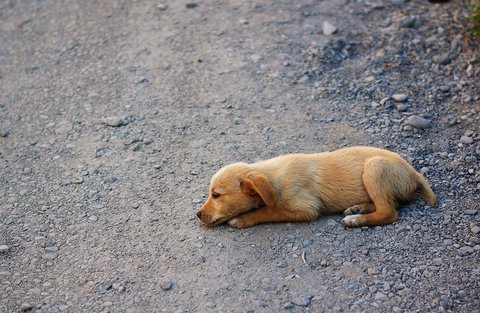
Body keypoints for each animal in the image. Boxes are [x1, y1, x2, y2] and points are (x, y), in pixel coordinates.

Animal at [197, 145, 436, 228]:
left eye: (216, 195)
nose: (197, 215)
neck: (273, 177)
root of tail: (414, 173)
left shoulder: (307, 208)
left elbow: (269, 211)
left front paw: (244, 219)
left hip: (375, 168)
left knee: (389, 211)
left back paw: (356, 219)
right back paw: (357, 208)